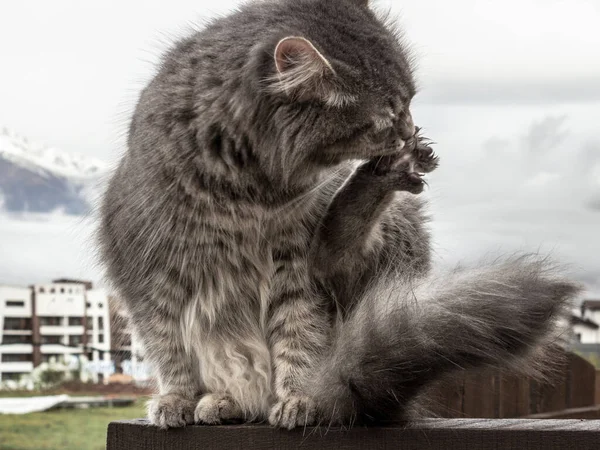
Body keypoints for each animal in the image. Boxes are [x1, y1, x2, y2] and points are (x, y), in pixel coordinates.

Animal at [99, 0, 580, 430]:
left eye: (410, 102)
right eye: (388, 113)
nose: (410, 130)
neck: (248, 194)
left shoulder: (296, 270)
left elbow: (297, 339)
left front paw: (297, 399)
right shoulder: (150, 276)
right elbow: (170, 352)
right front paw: (177, 400)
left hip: (372, 245)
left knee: (343, 242)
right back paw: (220, 401)